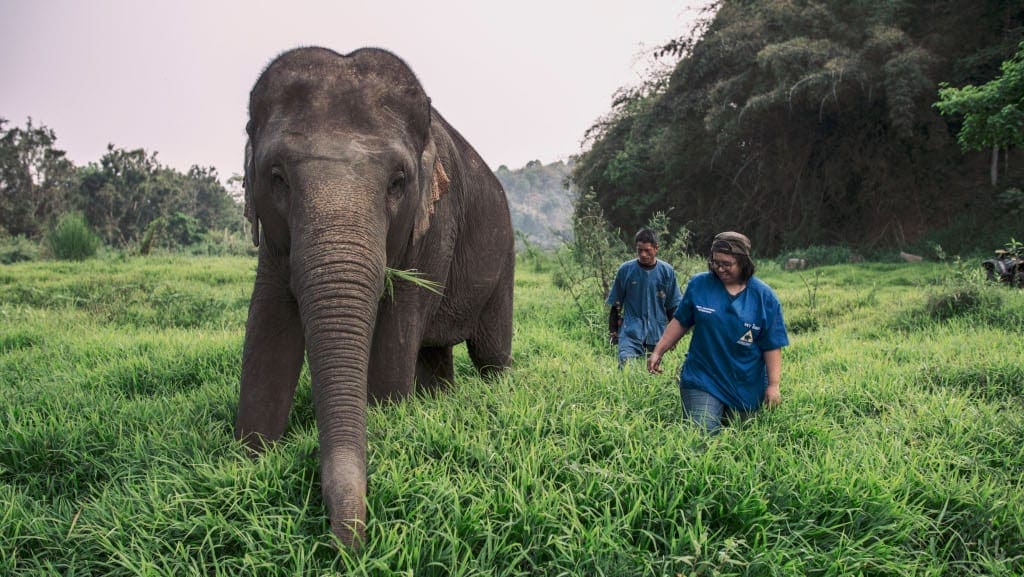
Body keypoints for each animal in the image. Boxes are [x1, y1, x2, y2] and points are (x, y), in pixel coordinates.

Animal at [235, 47, 516, 549]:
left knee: (491, 354)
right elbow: (268, 327)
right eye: (277, 177)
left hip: (503, 258)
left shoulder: (436, 223)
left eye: (397, 182)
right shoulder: (273, 242)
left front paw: (390, 422)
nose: (349, 549)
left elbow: (396, 331)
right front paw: (252, 460)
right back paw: (439, 402)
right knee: (434, 355)